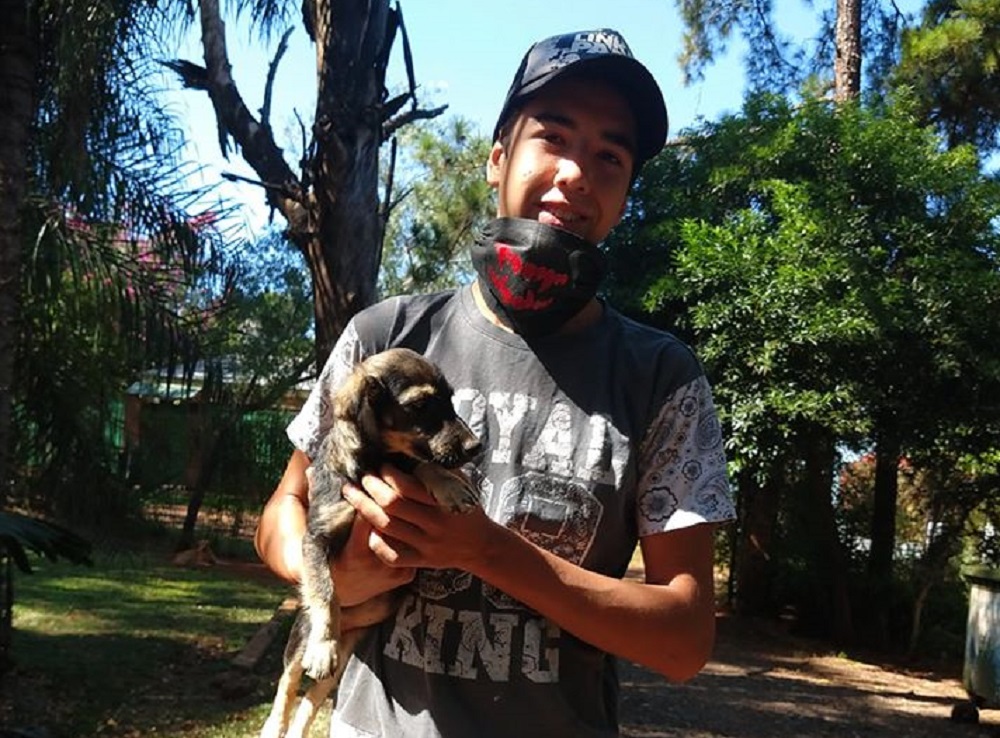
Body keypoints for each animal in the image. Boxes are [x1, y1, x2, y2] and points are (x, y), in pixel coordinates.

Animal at [261, 347, 482, 738]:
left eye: (449, 400)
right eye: (421, 405)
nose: (476, 447)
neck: (375, 462)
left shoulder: (405, 464)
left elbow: (421, 465)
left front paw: (450, 486)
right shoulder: (315, 540)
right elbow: (325, 590)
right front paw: (324, 643)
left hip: (346, 655)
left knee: (311, 700)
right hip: (300, 638)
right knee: (287, 689)